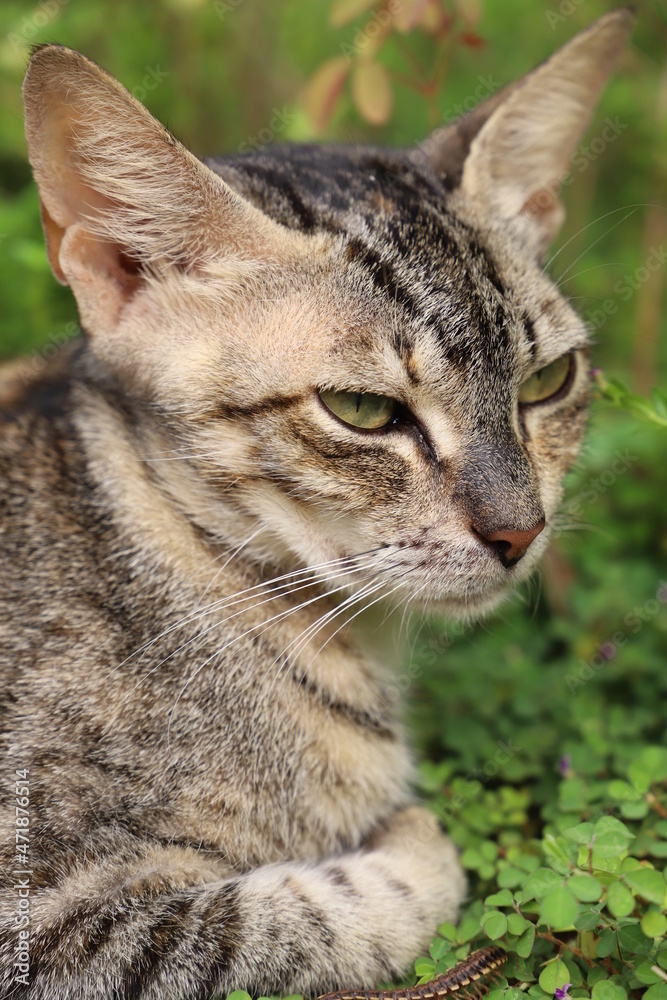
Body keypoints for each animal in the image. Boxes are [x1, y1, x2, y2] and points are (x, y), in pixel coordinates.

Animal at [0, 9, 636, 1000]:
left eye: (547, 381)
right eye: (362, 411)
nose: (518, 530)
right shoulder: (50, 930)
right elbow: (281, 917)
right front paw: (413, 838)